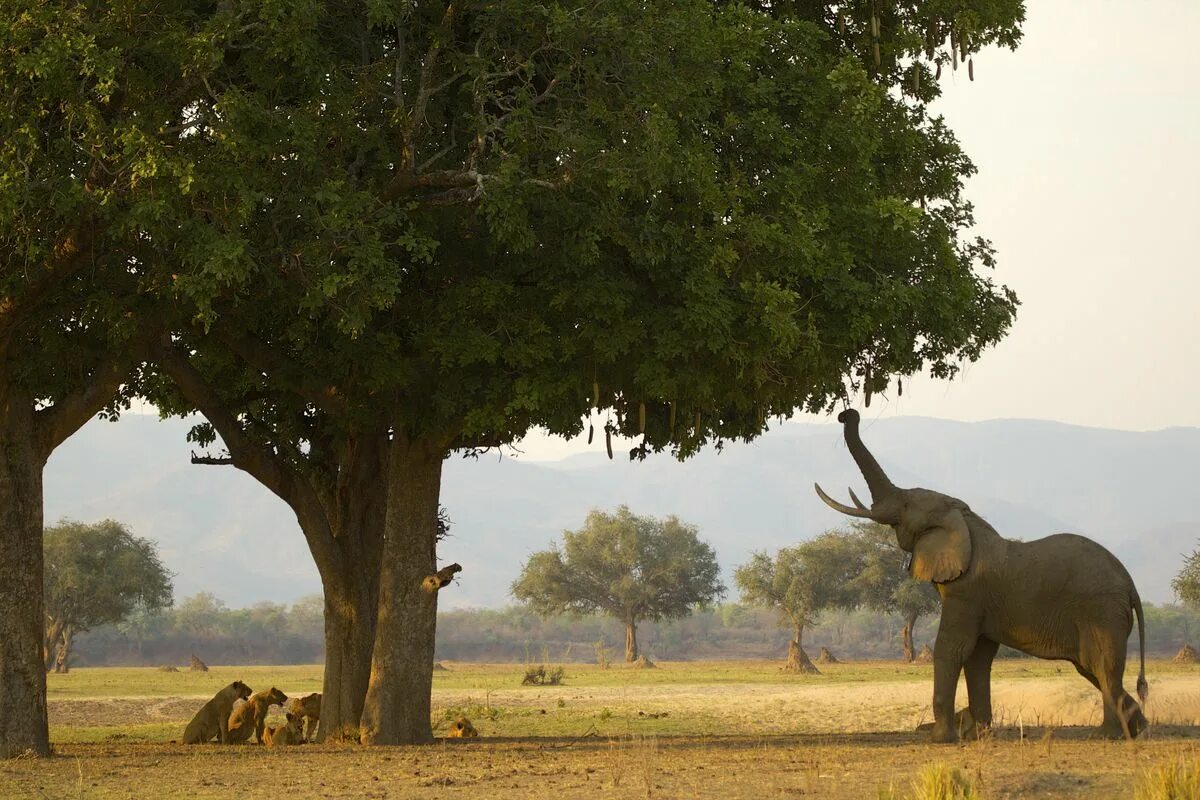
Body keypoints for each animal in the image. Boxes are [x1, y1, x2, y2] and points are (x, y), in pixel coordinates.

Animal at [816, 410, 1142, 743]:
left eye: (907, 503)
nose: (847, 414)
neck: (964, 521)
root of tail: (1130, 586)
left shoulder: (968, 592)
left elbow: (952, 648)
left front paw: (941, 739)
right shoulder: (982, 603)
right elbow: (978, 657)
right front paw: (977, 734)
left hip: (1100, 610)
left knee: (1101, 665)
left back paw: (1109, 735)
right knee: (1091, 668)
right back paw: (1136, 727)